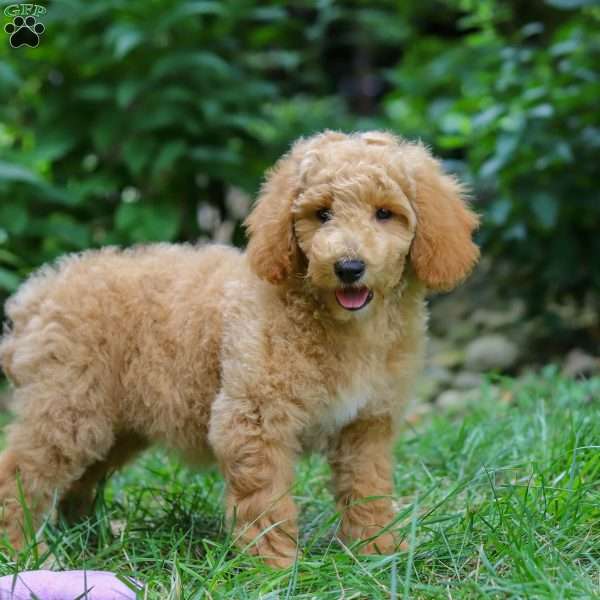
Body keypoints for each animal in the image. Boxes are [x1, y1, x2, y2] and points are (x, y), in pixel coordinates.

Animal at [0, 131, 478, 568]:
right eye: (321, 214)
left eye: (385, 214)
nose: (348, 267)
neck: (344, 325)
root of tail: (39, 293)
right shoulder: (255, 419)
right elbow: (265, 500)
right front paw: (275, 569)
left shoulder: (367, 424)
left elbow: (367, 488)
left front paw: (378, 553)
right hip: (68, 408)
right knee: (20, 473)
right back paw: (23, 552)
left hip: (115, 424)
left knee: (77, 481)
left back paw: (89, 540)